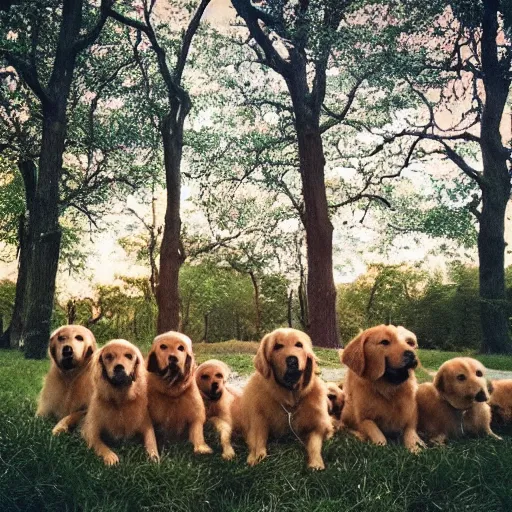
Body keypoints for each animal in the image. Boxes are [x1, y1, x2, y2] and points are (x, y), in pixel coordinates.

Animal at [80, 338, 158, 466]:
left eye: (129, 356)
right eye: (108, 356)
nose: (119, 368)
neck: (120, 400)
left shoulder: (146, 425)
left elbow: (151, 442)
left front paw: (154, 456)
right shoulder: (90, 430)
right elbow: (99, 444)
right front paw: (110, 456)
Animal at [232, 330, 332, 470]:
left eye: (299, 345)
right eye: (277, 346)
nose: (292, 360)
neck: (290, 397)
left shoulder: (318, 423)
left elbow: (314, 442)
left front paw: (316, 462)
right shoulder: (258, 417)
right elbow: (258, 438)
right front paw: (256, 455)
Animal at [340, 324, 424, 452]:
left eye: (410, 343)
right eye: (385, 342)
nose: (411, 354)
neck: (387, 389)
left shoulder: (411, 418)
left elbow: (410, 433)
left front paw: (415, 448)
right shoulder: (363, 418)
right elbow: (374, 430)